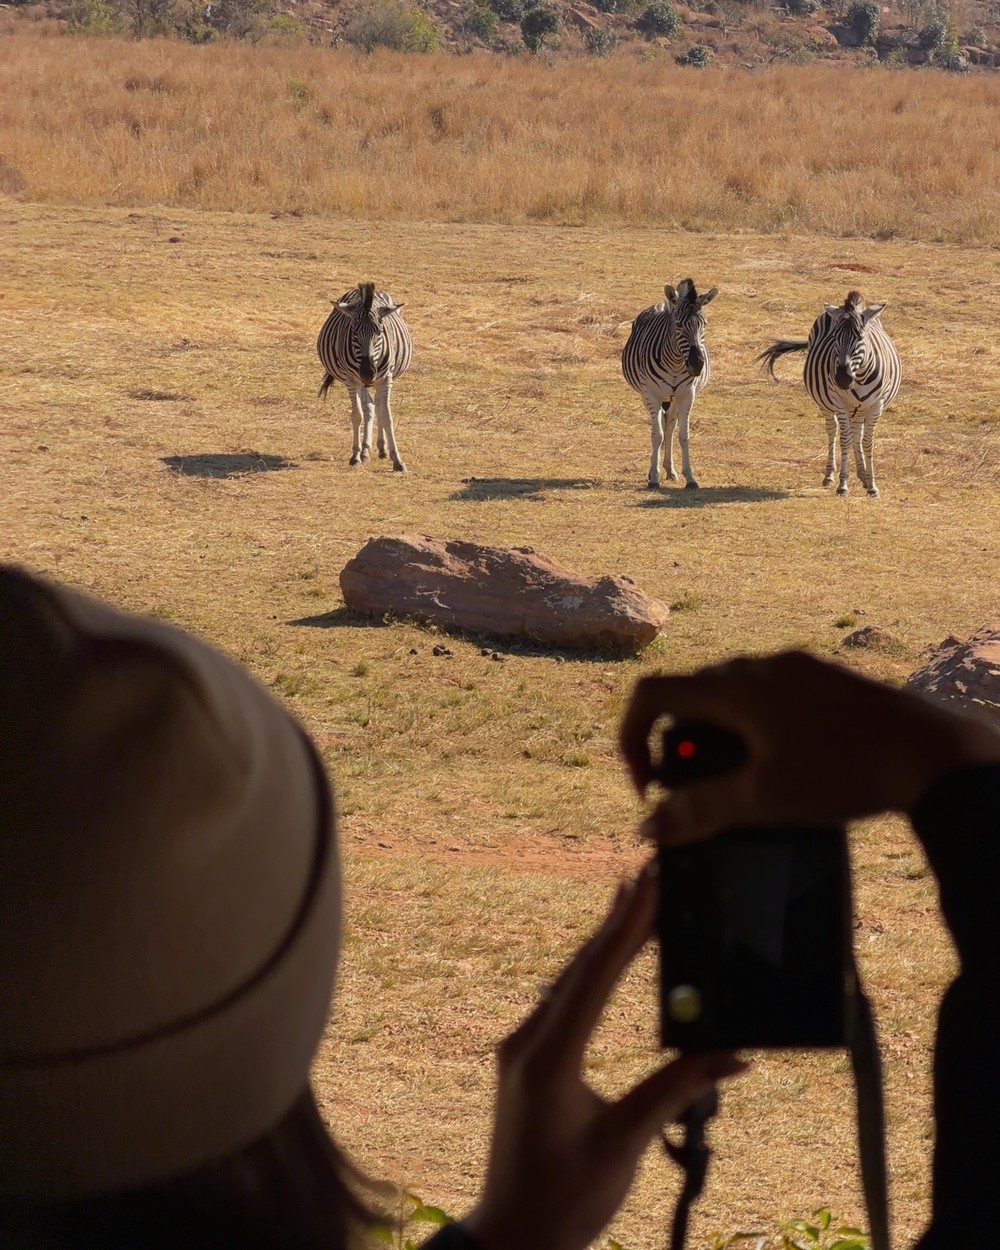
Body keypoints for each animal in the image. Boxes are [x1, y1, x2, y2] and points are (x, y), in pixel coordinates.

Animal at [316, 281, 413, 472]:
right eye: (353, 331)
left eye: (380, 331)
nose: (368, 373)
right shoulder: (351, 380)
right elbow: (358, 415)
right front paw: (356, 455)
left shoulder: (385, 379)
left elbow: (387, 417)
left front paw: (397, 460)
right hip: (360, 382)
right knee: (369, 406)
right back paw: (365, 451)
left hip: (378, 380)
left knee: (378, 406)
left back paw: (382, 449)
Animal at [622, 278, 718, 490]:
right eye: (679, 324)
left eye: (704, 324)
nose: (697, 364)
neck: (675, 362)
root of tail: (665, 303)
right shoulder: (651, 394)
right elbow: (656, 435)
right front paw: (654, 478)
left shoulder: (687, 394)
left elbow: (683, 435)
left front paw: (690, 477)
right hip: (647, 395)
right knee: (658, 425)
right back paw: (654, 470)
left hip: (673, 397)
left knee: (669, 425)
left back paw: (669, 469)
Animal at [755, 290, 901, 498]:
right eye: (834, 338)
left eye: (860, 338)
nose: (842, 379)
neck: (860, 376)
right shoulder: (839, 401)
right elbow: (844, 439)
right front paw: (843, 484)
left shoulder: (876, 405)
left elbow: (867, 442)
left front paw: (872, 485)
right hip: (827, 403)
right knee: (833, 430)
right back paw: (830, 475)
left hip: (859, 408)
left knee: (857, 434)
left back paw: (862, 475)